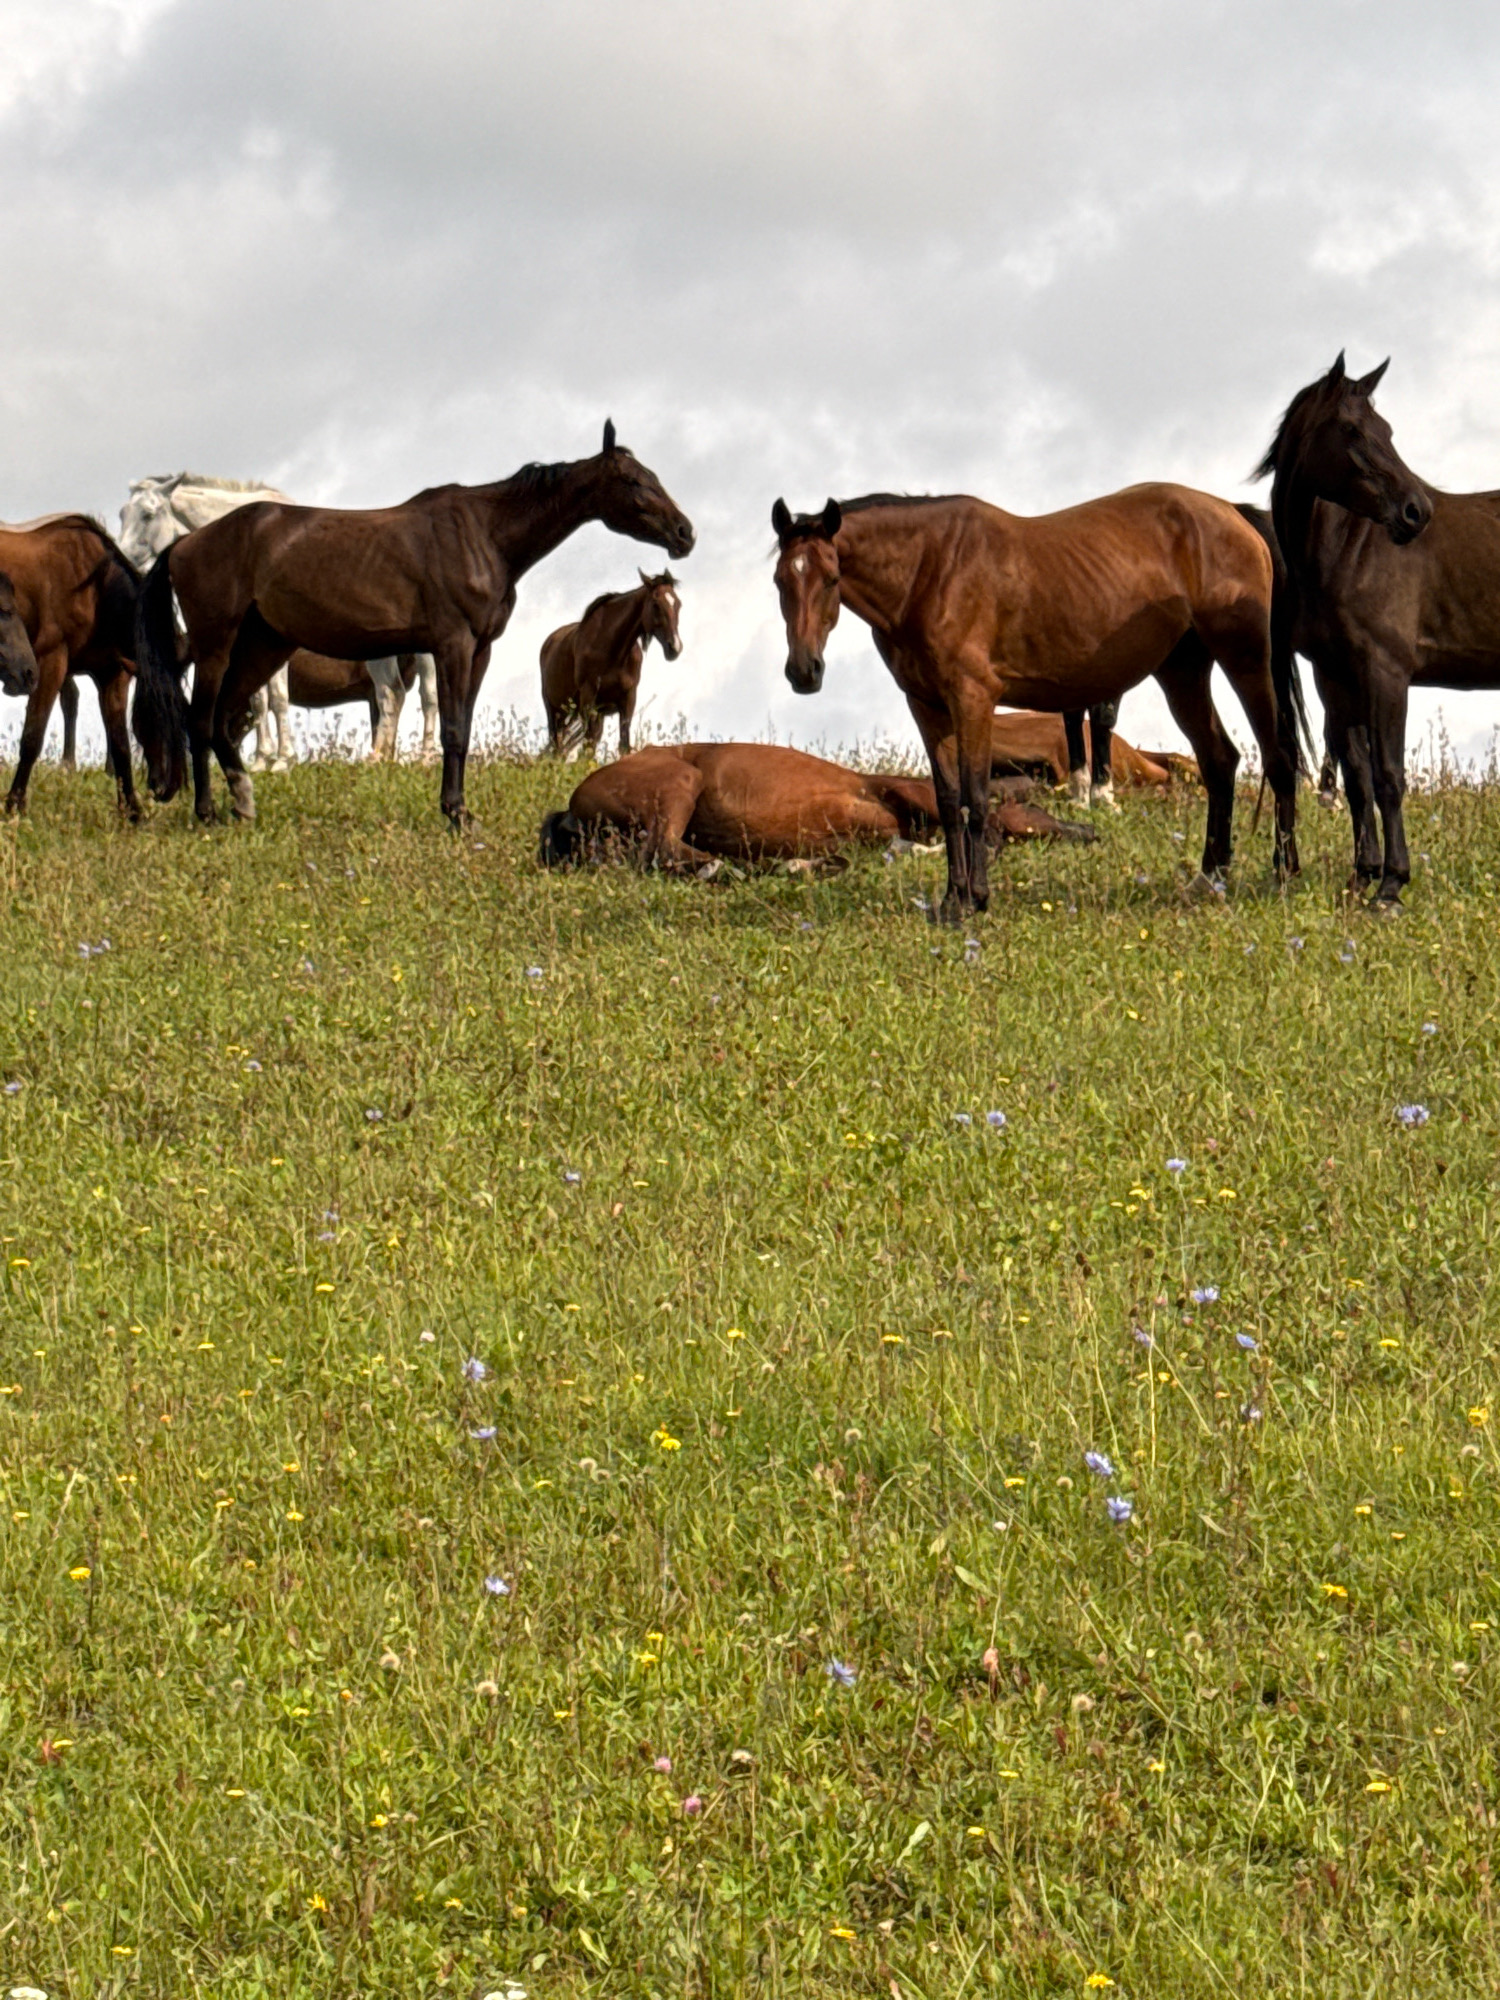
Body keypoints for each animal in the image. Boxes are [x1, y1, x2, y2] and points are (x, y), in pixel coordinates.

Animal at [0, 517, 137, 817]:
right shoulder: (50, 663)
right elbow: (32, 737)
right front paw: (14, 804)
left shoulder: (112, 674)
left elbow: (121, 744)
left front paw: (131, 810)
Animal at [540, 570, 682, 757]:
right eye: (656, 604)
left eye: (678, 604)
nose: (675, 647)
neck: (613, 651)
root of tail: (549, 641)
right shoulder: (588, 698)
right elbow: (587, 747)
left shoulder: (628, 699)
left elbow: (623, 745)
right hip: (554, 711)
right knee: (557, 744)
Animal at [771, 485, 1303, 922]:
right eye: (781, 580)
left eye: (831, 578)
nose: (804, 671)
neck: (930, 572)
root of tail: (1231, 512)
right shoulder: (927, 707)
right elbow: (948, 801)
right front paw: (951, 899)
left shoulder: (973, 700)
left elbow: (976, 797)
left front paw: (975, 898)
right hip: (1182, 672)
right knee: (1219, 762)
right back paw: (1210, 877)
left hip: (1245, 658)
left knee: (1278, 759)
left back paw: (1285, 872)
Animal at [1253, 354, 1484, 906]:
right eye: (1353, 430)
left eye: (1388, 430)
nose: (1416, 512)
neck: (1348, 551)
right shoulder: (1336, 678)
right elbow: (1358, 776)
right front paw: (1363, 875)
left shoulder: (1386, 674)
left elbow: (1388, 777)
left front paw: (1391, 886)